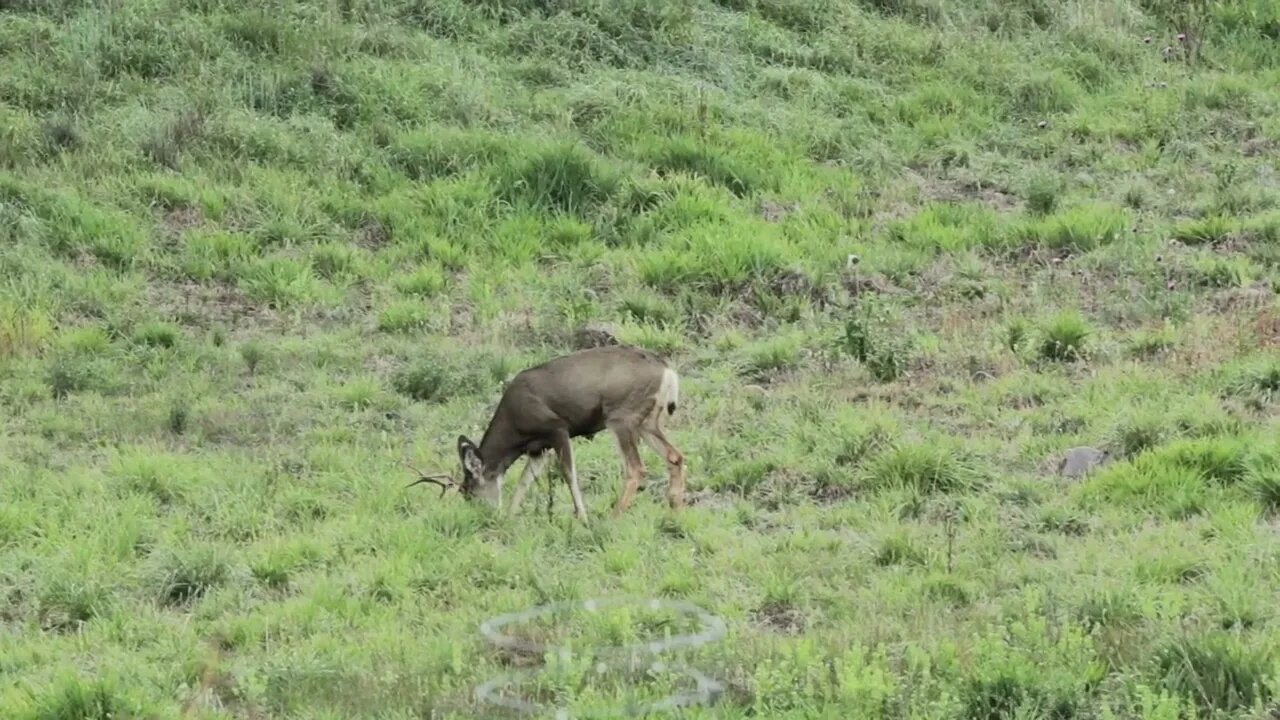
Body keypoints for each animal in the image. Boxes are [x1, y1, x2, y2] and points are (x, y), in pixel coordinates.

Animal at [407, 343, 686, 520]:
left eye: (470, 493)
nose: (483, 517)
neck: (515, 427)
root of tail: (668, 371)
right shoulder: (537, 449)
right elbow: (524, 480)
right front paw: (510, 516)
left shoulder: (557, 428)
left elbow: (568, 474)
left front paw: (582, 518)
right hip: (647, 421)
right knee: (675, 456)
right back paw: (674, 510)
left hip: (620, 416)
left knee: (635, 468)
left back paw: (613, 517)